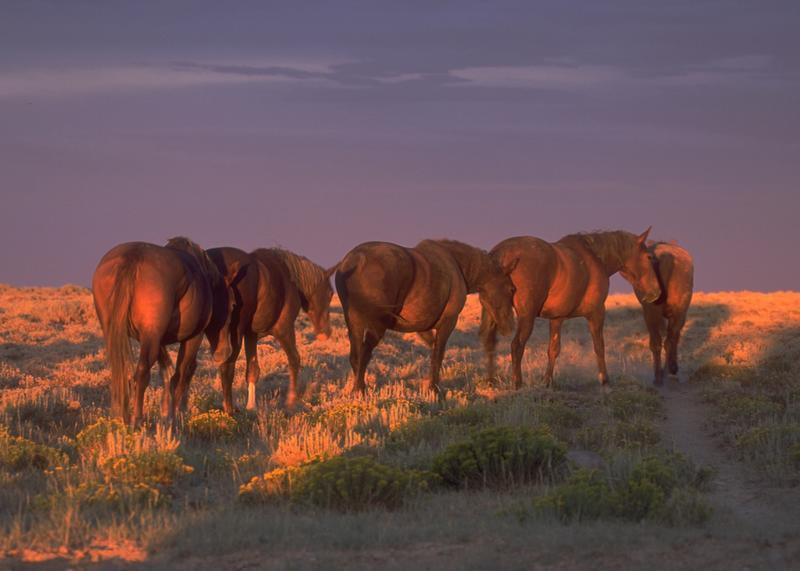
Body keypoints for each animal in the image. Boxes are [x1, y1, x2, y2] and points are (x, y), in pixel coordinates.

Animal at [92, 237, 228, 426]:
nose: (224, 353)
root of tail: (132, 256)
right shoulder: (193, 337)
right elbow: (180, 376)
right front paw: (174, 417)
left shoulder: (158, 341)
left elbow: (167, 373)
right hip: (152, 336)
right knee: (142, 374)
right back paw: (137, 420)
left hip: (119, 333)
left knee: (122, 375)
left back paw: (122, 418)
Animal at [204, 247, 334, 412]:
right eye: (330, 293)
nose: (326, 333)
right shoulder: (285, 329)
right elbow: (294, 360)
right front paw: (291, 401)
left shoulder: (251, 335)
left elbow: (252, 370)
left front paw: (251, 406)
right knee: (227, 367)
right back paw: (229, 410)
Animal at [334, 239, 516, 395]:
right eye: (511, 289)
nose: (509, 327)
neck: (457, 264)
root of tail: (355, 260)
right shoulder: (448, 322)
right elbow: (438, 355)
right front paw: (434, 389)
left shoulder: (422, 327)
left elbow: (433, 351)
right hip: (376, 326)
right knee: (364, 354)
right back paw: (359, 391)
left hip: (355, 324)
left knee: (356, 356)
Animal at [481, 228, 662, 388]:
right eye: (649, 257)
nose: (656, 293)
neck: (594, 258)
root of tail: (502, 253)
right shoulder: (597, 312)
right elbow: (599, 346)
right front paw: (604, 379)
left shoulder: (556, 319)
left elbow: (553, 349)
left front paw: (547, 381)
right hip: (527, 317)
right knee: (517, 345)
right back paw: (517, 384)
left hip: (493, 313)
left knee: (490, 344)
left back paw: (491, 381)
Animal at [637, 241, 694, 384]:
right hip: (678, 312)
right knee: (669, 340)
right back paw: (669, 369)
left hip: (650, 313)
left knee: (657, 342)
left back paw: (658, 377)